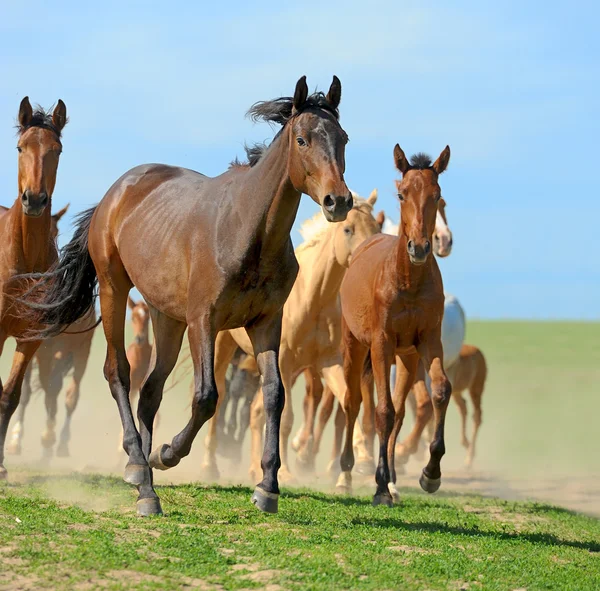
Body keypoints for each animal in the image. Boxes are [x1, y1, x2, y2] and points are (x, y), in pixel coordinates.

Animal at [16, 76, 352, 516]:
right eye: (301, 139)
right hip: (115, 291)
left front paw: (267, 487)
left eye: (342, 138)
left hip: (167, 318)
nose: (338, 201)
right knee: (118, 373)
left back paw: (139, 468)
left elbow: (274, 395)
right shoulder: (204, 322)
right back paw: (144, 477)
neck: (247, 231)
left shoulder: (265, 324)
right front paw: (167, 453)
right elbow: (207, 396)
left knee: (150, 391)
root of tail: (116, 192)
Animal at [205, 192, 384, 484]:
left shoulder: (329, 363)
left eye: (376, 229)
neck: (313, 298)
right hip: (222, 348)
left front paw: (364, 462)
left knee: (255, 412)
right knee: (220, 397)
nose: (369, 263)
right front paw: (286, 473)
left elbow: (348, 403)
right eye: (348, 229)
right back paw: (209, 465)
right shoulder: (285, 363)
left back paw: (253, 468)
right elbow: (286, 417)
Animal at [338, 145, 450, 508]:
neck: (408, 281)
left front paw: (430, 473)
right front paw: (379, 488)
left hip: (407, 357)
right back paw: (347, 474)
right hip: (355, 346)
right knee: (353, 403)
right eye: (402, 194)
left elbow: (440, 391)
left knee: (400, 412)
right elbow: (381, 411)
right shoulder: (381, 343)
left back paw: (393, 480)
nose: (420, 247)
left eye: (437, 195)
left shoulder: (429, 342)